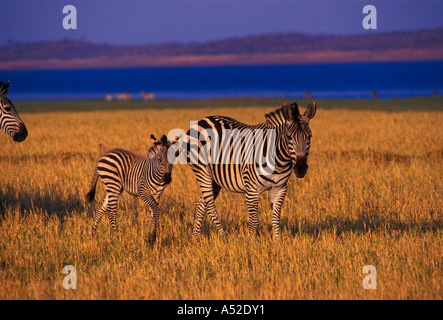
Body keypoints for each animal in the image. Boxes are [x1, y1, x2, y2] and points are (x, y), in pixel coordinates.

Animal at [182, 102, 318, 240]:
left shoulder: (279, 189)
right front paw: (249, 241)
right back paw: (223, 236)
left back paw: (195, 238)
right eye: (289, 137)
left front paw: (277, 242)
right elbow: (254, 221)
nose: (301, 168)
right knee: (210, 206)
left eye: (309, 136)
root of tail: (201, 120)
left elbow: (276, 218)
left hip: (216, 179)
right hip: (202, 171)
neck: (278, 161)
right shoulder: (252, 191)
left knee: (201, 204)